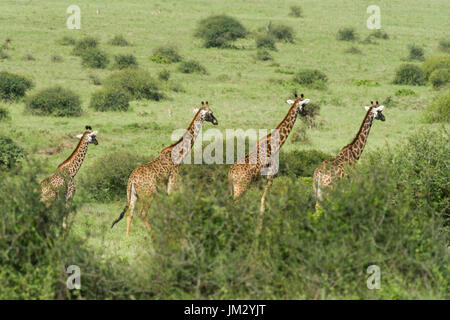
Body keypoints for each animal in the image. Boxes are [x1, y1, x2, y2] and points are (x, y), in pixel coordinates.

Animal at [111, 101, 219, 236]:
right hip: (149, 194)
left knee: (129, 214)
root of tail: (131, 180)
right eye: (210, 112)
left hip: (133, 195)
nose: (216, 121)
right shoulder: (173, 179)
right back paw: (153, 234)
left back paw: (127, 237)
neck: (179, 154)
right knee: (142, 214)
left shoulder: (166, 183)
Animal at [230, 94, 312, 231]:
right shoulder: (270, 177)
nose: (306, 113)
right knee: (234, 203)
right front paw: (259, 230)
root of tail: (230, 173)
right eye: (303, 105)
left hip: (233, 187)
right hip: (241, 186)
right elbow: (263, 203)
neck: (274, 145)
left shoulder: (261, 181)